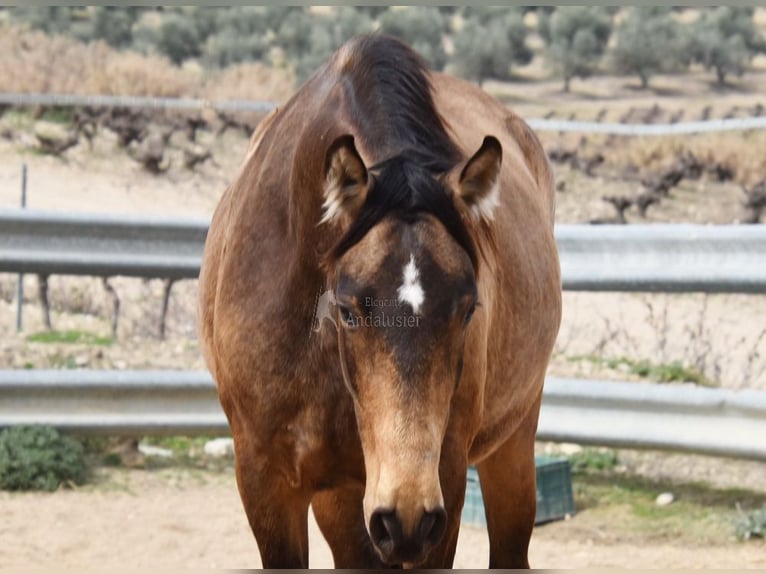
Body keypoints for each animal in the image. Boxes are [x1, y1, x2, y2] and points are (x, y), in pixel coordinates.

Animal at [201, 36, 560, 572]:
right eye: (348, 309)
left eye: (467, 309)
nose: (405, 517)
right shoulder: (267, 483)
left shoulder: (443, 486)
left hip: (510, 446)